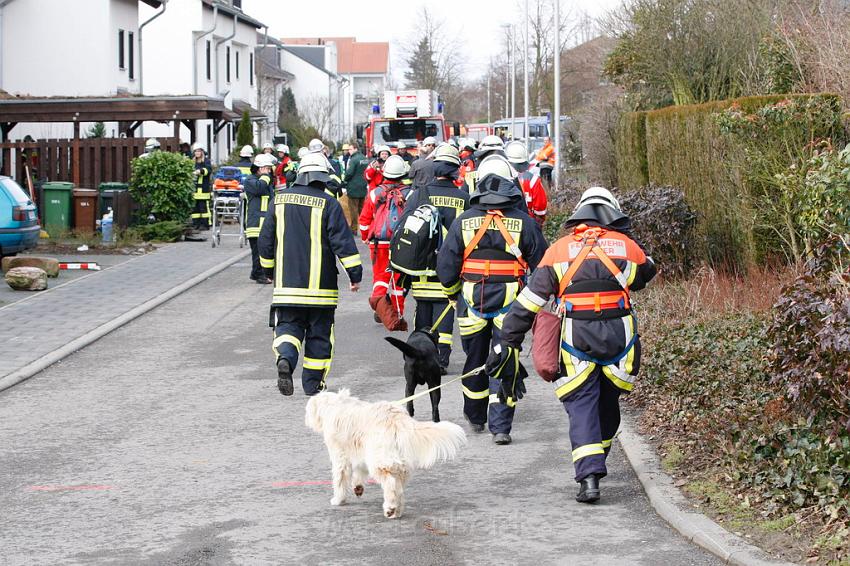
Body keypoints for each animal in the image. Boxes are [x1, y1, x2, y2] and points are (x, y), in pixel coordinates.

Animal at [304, 390, 464, 520]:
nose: (306, 419)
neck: (334, 405)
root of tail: (397, 418)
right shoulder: (360, 453)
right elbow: (359, 472)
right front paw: (357, 487)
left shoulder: (340, 456)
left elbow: (340, 479)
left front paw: (338, 499)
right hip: (399, 463)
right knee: (399, 488)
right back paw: (397, 511)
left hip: (381, 461)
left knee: (390, 484)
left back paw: (390, 508)